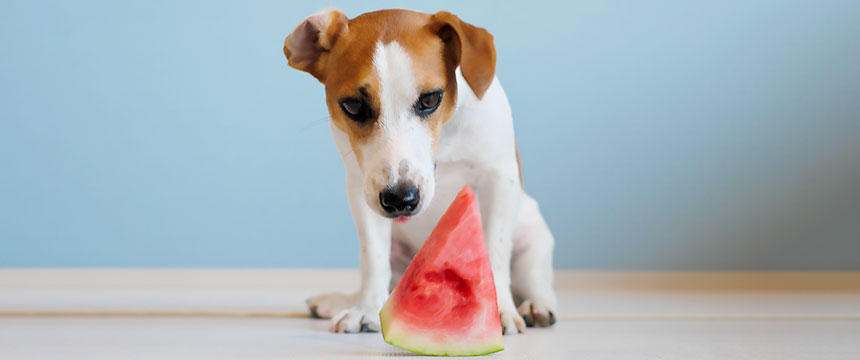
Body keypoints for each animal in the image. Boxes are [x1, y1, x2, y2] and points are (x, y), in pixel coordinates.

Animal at [282, 8, 556, 334]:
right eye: (353, 106)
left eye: (430, 99)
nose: (400, 199)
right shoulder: (363, 186)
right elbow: (373, 258)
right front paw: (366, 309)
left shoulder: (500, 178)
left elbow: (495, 251)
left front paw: (498, 309)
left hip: (532, 238)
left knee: (534, 280)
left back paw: (536, 306)